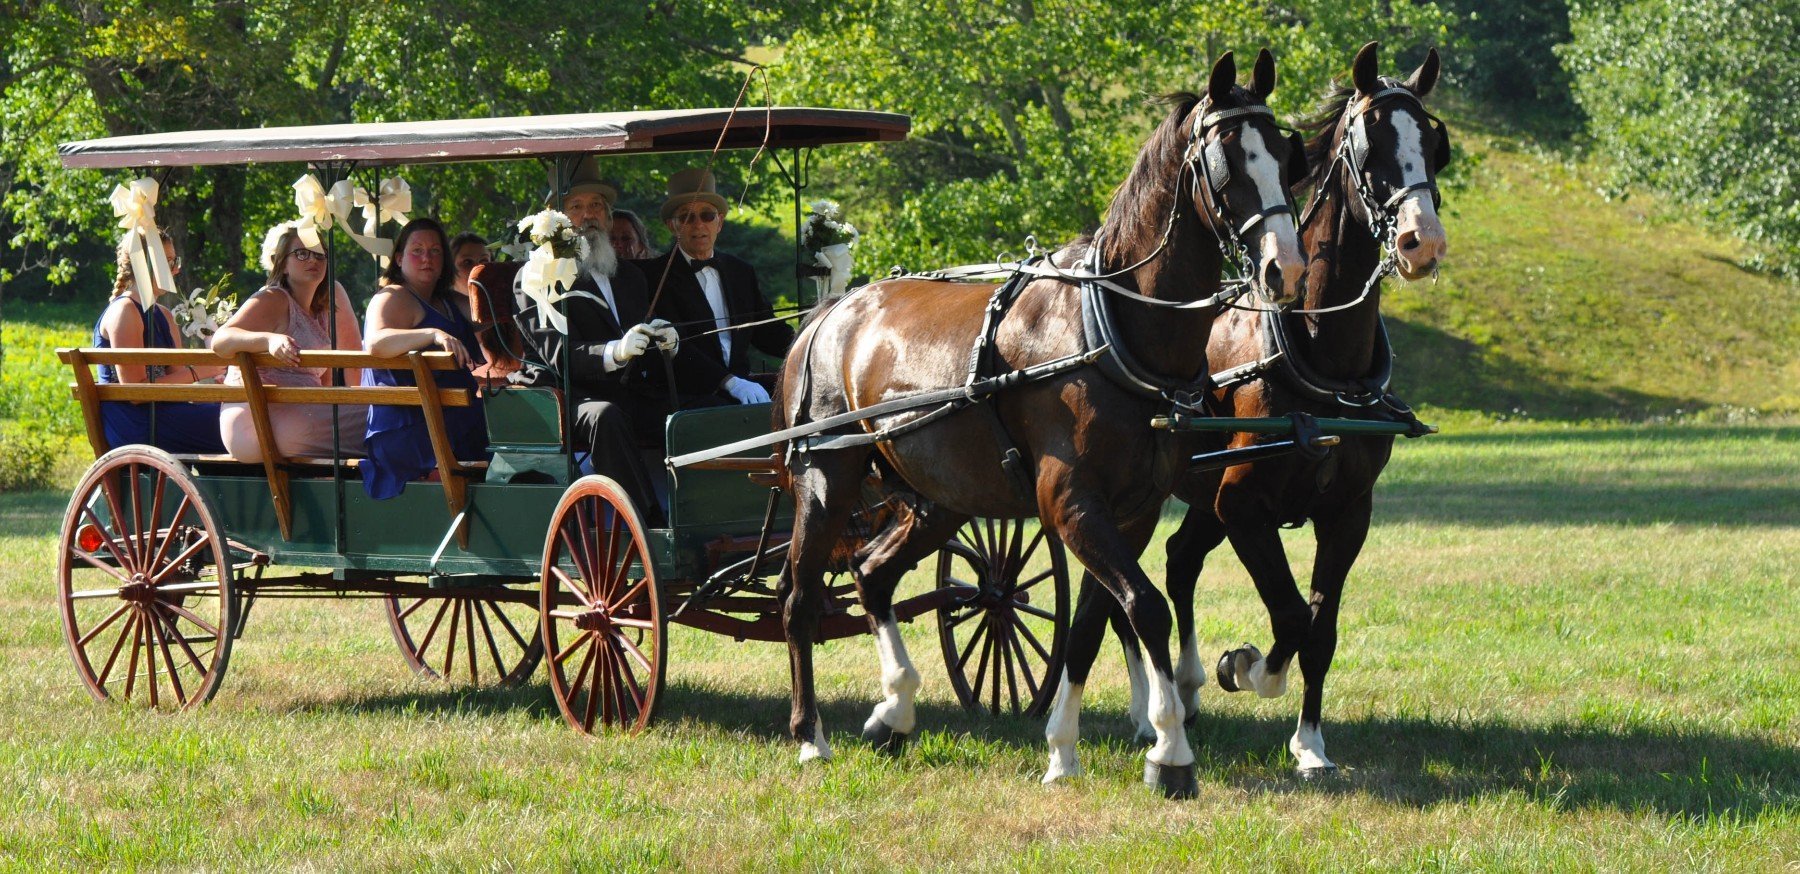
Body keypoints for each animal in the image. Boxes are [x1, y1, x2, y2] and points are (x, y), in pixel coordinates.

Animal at [774, 49, 1310, 798]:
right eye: (1228, 161)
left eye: (1287, 156)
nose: (1285, 268)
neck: (1112, 327)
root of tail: (830, 312)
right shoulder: (1070, 501)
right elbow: (1147, 607)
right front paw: (1171, 750)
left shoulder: (1132, 511)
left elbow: (1091, 624)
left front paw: (1063, 750)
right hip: (827, 477)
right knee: (799, 598)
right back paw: (810, 736)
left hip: (941, 498)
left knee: (873, 573)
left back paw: (896, 709)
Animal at [1094, 40, 1447, 776]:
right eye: (1372, 147)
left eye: (1433, 144)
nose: (1421, 242)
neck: (1320, 356)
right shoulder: (1243, 505)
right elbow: (1290, 617)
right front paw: (1246, 667)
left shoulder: (1348, 513)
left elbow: (1321, 628)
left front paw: (1310, 744)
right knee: (1119, 592)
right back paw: (1150, 710)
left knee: (1177, 560)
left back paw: (1186, 688)